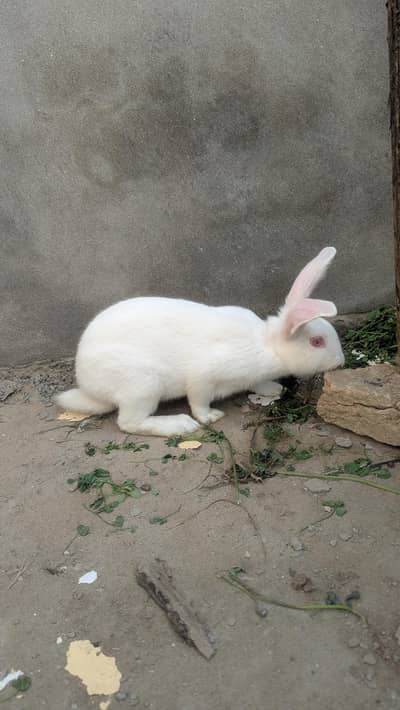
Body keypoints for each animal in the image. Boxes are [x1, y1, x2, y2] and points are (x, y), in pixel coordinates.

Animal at [56, 246, 344, 436]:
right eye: (317, 342)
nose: (341, 361)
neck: (267, 345)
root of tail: (88, 385)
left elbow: (257, 383)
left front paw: (274, 389)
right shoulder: (205, 375)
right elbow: (199, 399)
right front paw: (210, 417)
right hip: (141, 385)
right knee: (129, 422)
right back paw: (179, 425)